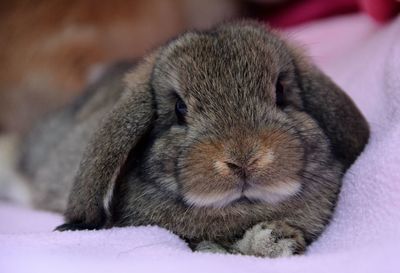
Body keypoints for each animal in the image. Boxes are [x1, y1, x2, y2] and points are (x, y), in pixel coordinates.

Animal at [18, 20, 368, 256]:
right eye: (179, 108)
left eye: (280, 92)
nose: (244, 159)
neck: (241, 209)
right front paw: (270, 241)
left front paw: (276, 239)